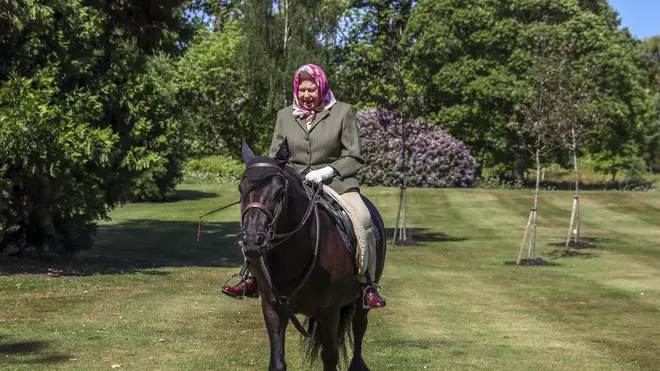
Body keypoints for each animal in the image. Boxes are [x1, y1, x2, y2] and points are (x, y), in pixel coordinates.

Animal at [238, 140, 386, 371]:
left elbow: (330, 357)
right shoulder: (273, 307)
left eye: (280, 191)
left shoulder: (329, 311)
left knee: (359, 330)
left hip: (361, 302)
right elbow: (277, 362)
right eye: (241, 188)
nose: (253, 240)